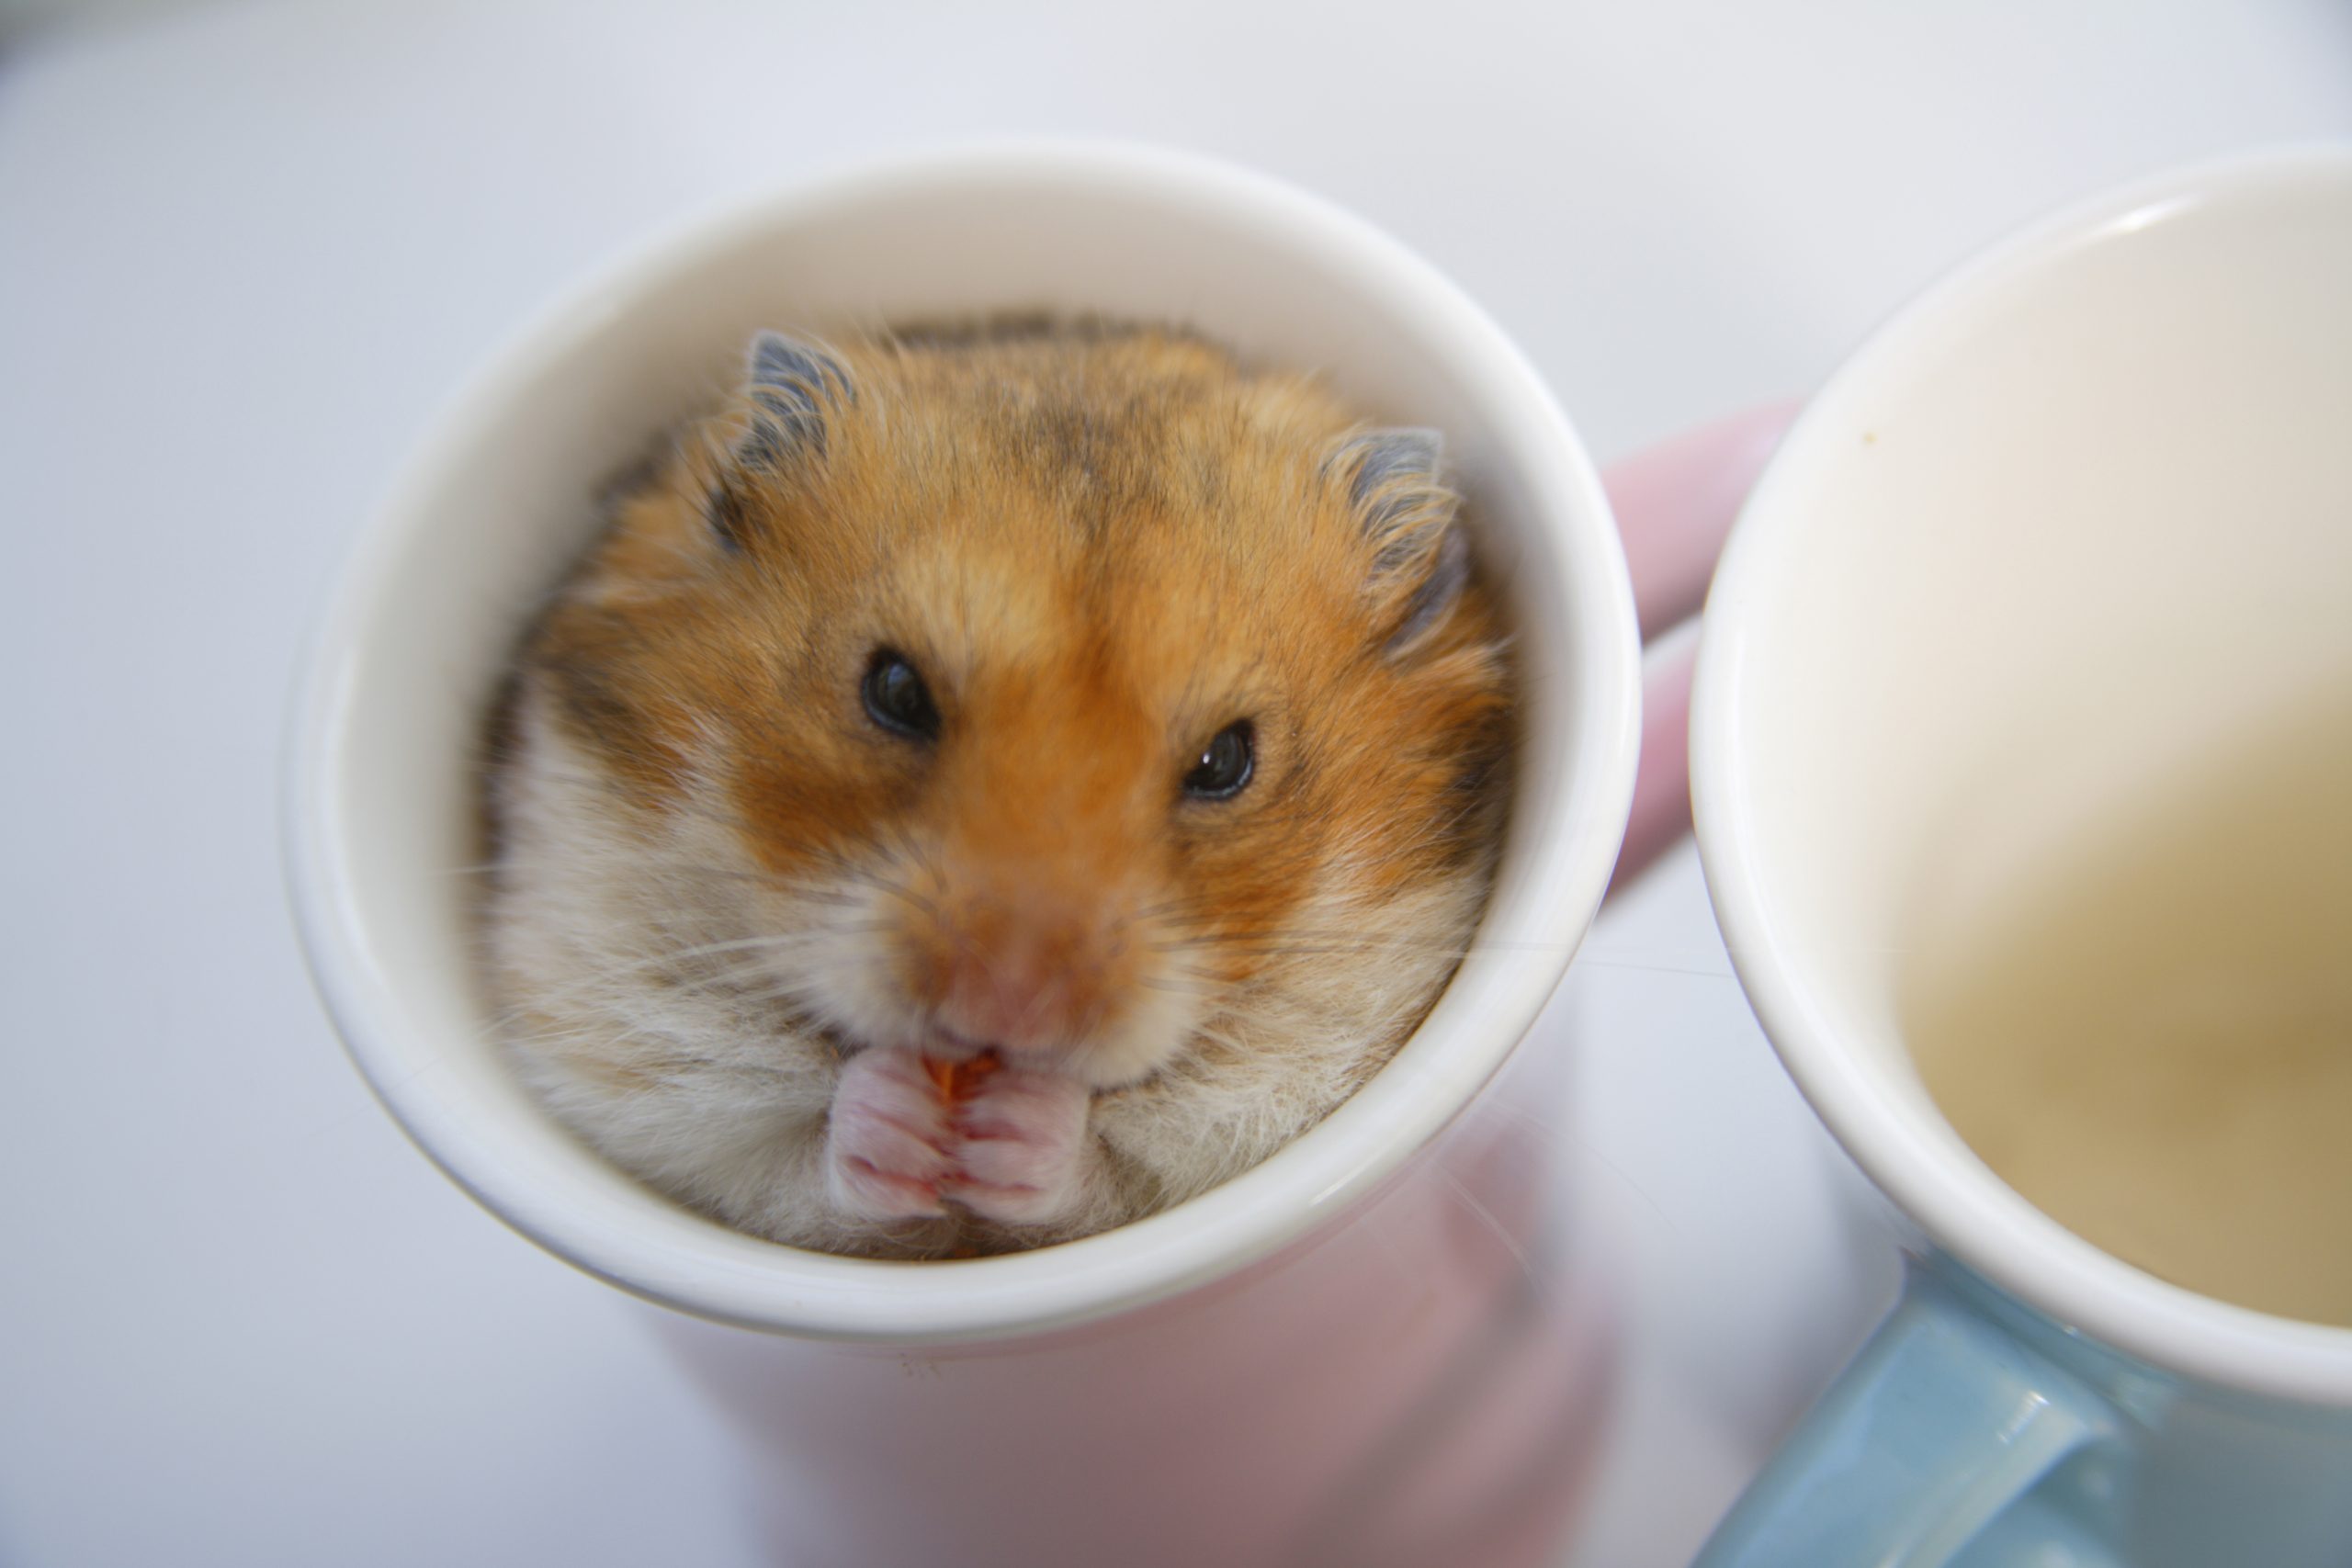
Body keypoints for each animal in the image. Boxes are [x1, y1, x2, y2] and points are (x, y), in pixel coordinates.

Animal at [482, 320, 1515, 1260]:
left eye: (1227, 760)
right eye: (894, 691)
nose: (1004, 1013)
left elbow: (1106, 1167)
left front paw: (1009, 1127)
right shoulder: (631, 1069)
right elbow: (798, 1153)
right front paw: (905, 1116)